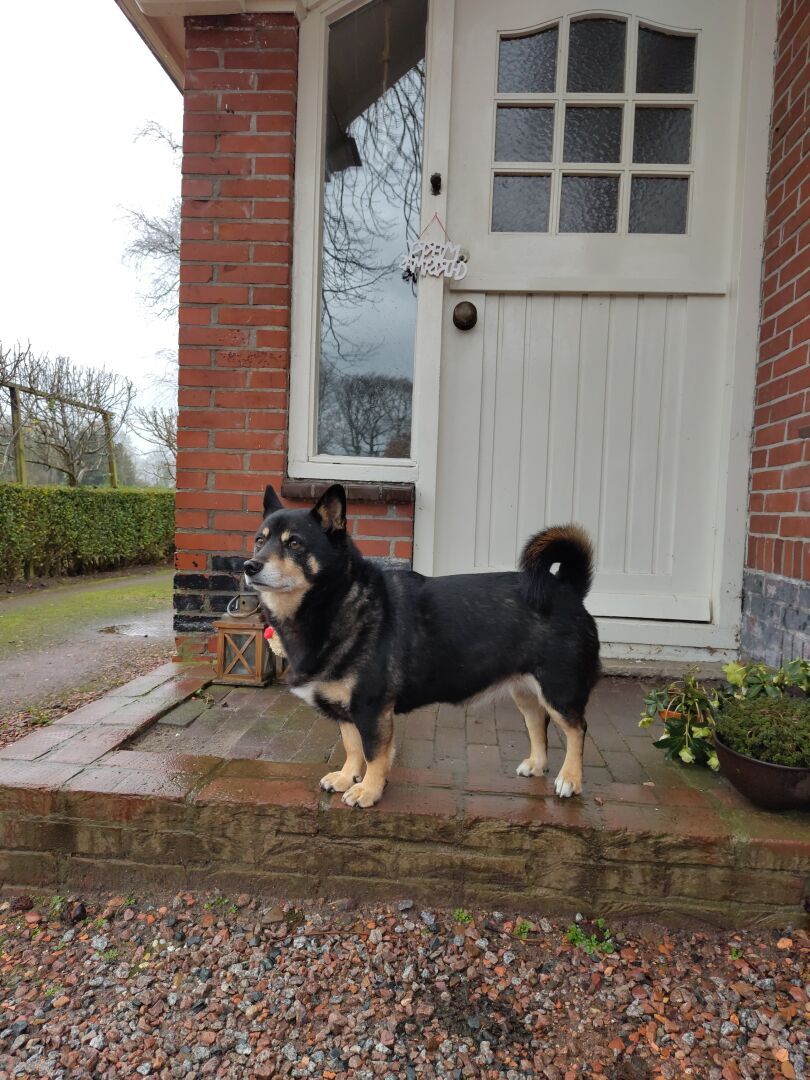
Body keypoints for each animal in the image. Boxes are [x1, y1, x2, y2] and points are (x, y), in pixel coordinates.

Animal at [246, 486, 604, 807]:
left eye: (294, 543)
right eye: (260, 540)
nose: (250, 566)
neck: (336, 599)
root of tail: (567, 588)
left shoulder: (371, 707)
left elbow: (373, 754)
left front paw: (368, 790)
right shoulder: (347, 709)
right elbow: (352, 746)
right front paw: (347, 777)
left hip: (559, 689)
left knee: (577, 729)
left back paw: (570, 779)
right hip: (526, 691)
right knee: (537, 723)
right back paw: (537, 764)